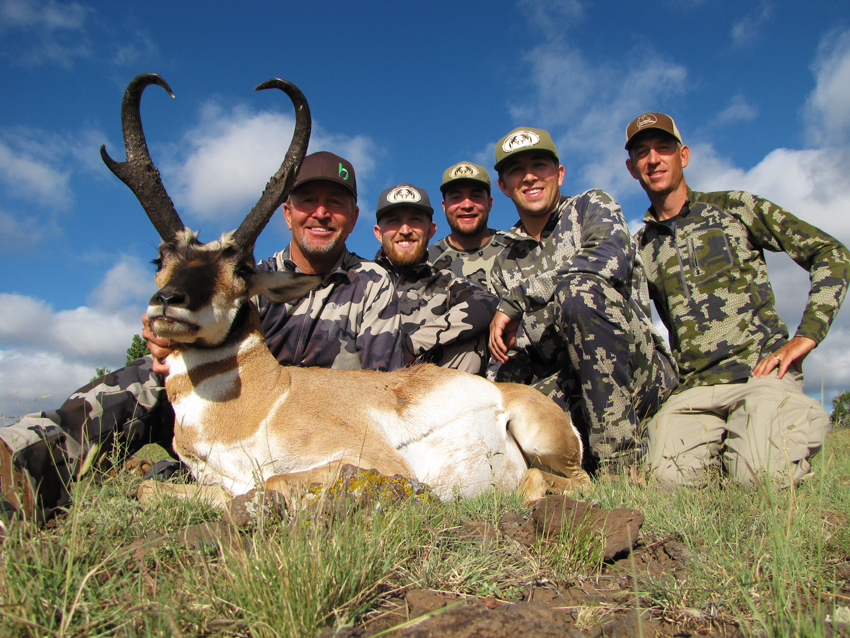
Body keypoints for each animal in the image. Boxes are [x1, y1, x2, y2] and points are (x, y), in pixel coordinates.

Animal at [102, 74, 588, 504]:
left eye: (240, 268)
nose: (169, 303)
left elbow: (271, 482)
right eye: (160, 259)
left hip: (542, 438)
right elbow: (150, 489)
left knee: (569, 480)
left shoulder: (378, 462)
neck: (269, 397)